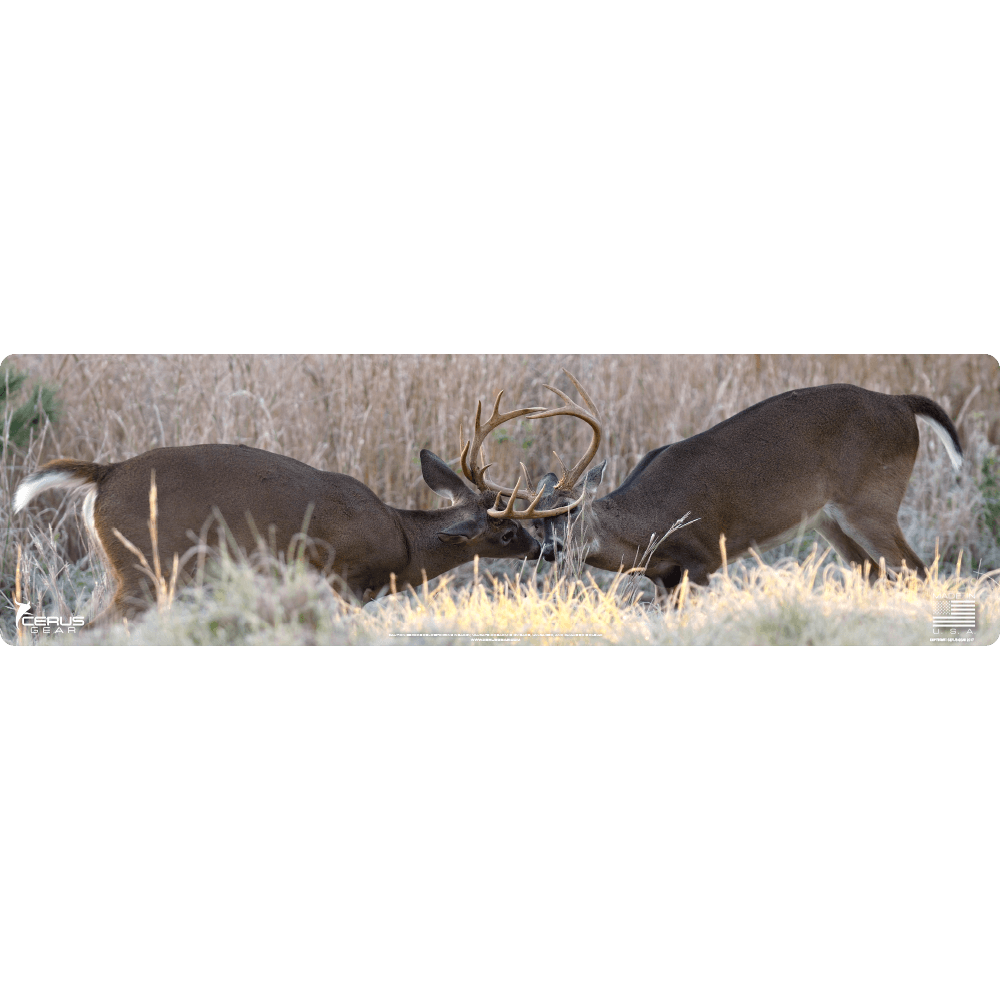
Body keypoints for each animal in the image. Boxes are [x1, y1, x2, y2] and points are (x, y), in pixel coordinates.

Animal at [13, 390, 578, 627]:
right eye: (507, 531)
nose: (548, 550)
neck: (402, 541)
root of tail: (104, 472)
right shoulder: (345, 579)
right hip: (147, 568)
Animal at [508, 370, 963, 595]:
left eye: (572, 510)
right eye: (535, 523)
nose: (550, 550)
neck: (649, 529)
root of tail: (901, 404)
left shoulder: (702, 558)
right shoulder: (665, 577)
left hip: (871, 502)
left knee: (918, 571)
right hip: (829, 520)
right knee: (876, 574)